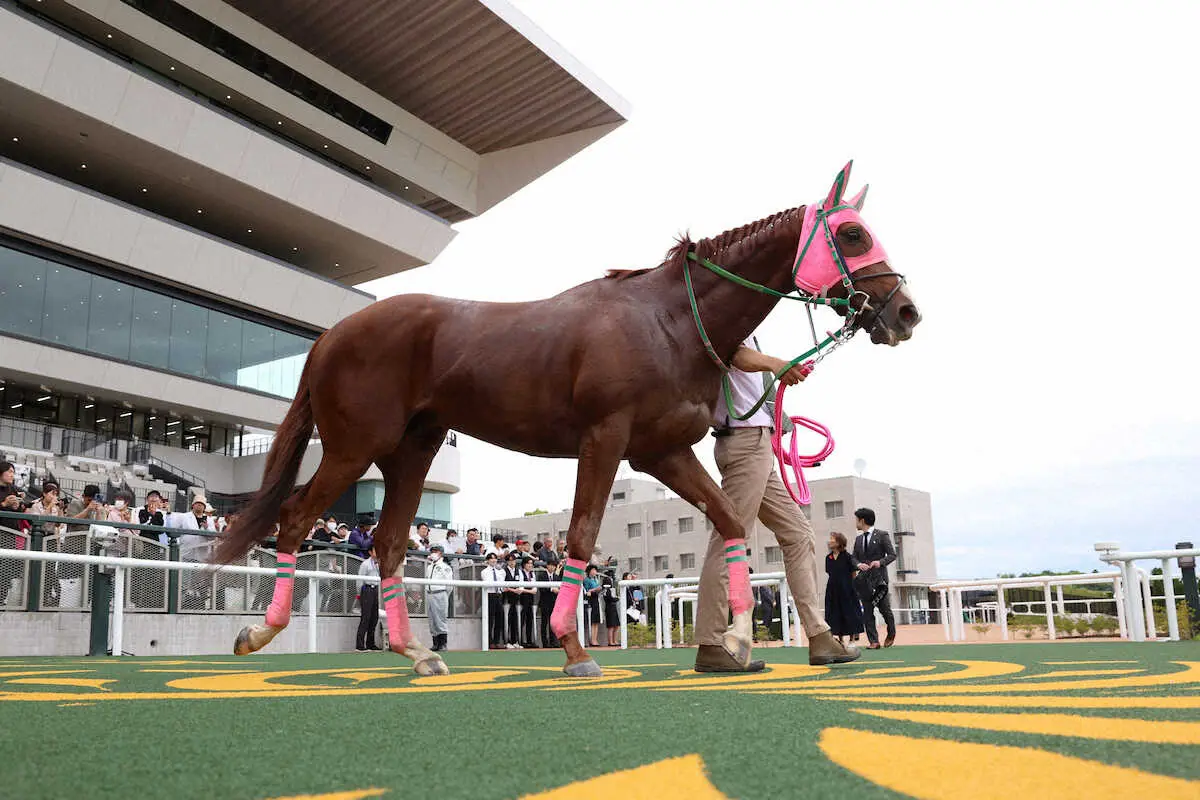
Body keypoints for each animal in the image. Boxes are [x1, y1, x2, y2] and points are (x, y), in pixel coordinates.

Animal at [220, 163, 921, 676]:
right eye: (854, 235)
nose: (906, 311)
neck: (668, 320)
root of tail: (331, 333)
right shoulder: (604, 438)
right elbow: (581, 539)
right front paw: (575, 648)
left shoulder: (662, 451)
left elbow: (728, 522)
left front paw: (736, 644)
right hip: (354, 444)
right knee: (296, 518)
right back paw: (260, 632)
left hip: (411, 453)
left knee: (390, 544)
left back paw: (417, 654)